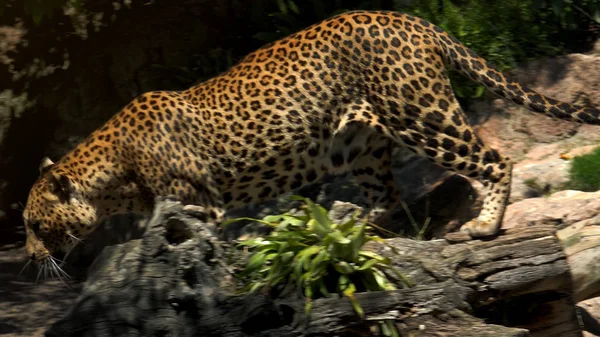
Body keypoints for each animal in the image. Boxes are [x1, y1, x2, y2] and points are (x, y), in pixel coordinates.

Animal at [21, 9, 596, 264]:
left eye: (33, 223)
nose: (27, 256)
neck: (113, 179)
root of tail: (412, 19)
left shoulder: (198, 204)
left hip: (420, 115)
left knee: (493, 157)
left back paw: (483, 226)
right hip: (362, 147)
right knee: (388, 199)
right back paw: (354, 230)